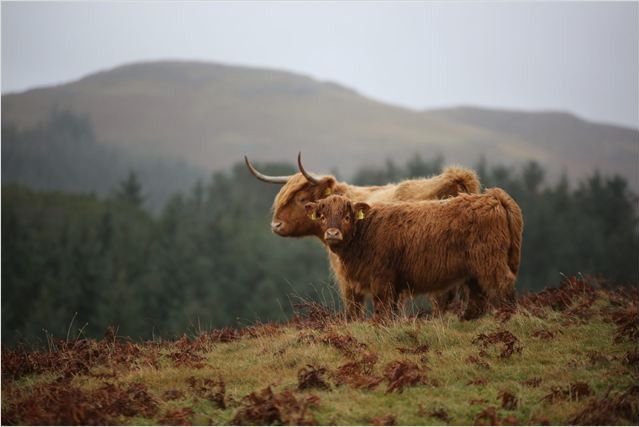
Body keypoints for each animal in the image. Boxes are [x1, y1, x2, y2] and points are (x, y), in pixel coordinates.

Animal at [245, 155, 480, 320]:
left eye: (302, 199)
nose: (276, 225)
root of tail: (454, 180)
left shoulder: (349, 279)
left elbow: (354, 311)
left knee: (441, 301)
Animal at [306, 191, 524, 320]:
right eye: (322, 217)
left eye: (347, 217)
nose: (332, 234)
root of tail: (492, 197)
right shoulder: (392, 283)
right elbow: (392, 308)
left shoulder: (382, 277)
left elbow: (382, 305)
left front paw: (379, 325)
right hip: (474, 268)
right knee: (478, 295)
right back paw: (466, 319)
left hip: (489, 260)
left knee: (503, 282)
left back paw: (509, 315)